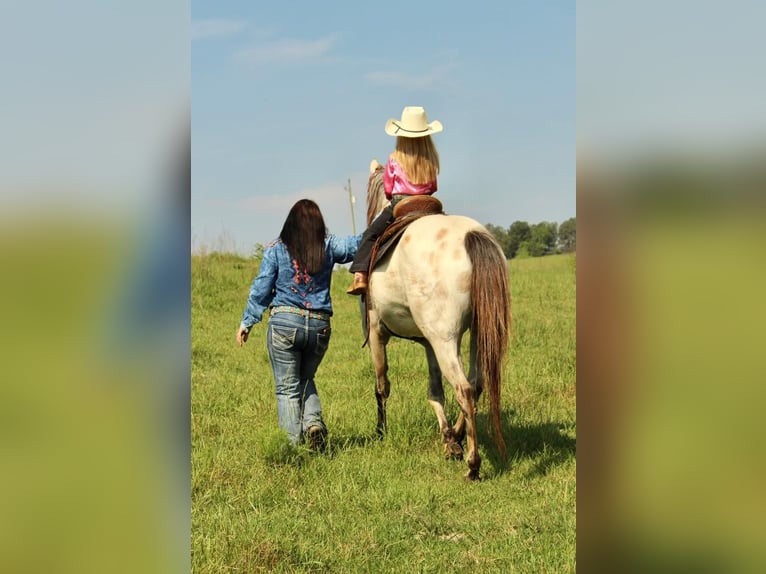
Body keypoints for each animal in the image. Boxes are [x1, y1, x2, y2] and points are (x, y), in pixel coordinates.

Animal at [362, 170, 516, 482]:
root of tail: (471, 236)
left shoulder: (376, 333)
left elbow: (382, 385)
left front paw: (381, 431)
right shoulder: (428, 343)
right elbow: (435, 391)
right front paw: (447, 437)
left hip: (445, 340)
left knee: (464, 389)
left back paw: (473, 464)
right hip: (471, 335)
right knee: (475, 384)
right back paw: (456, 438)